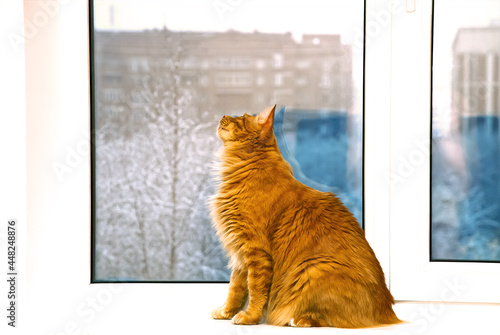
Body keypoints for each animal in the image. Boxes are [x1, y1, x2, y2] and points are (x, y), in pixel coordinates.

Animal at [209, 105, 400, 328]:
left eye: (241, 118)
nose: (223, 115)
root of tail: (387, 309)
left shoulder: (255, 249)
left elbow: (255, 290)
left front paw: (249, 317)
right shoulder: (239, 251)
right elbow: (235, 289)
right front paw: (226, 311)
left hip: (312, 269)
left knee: (331, 319)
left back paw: (300, 319)